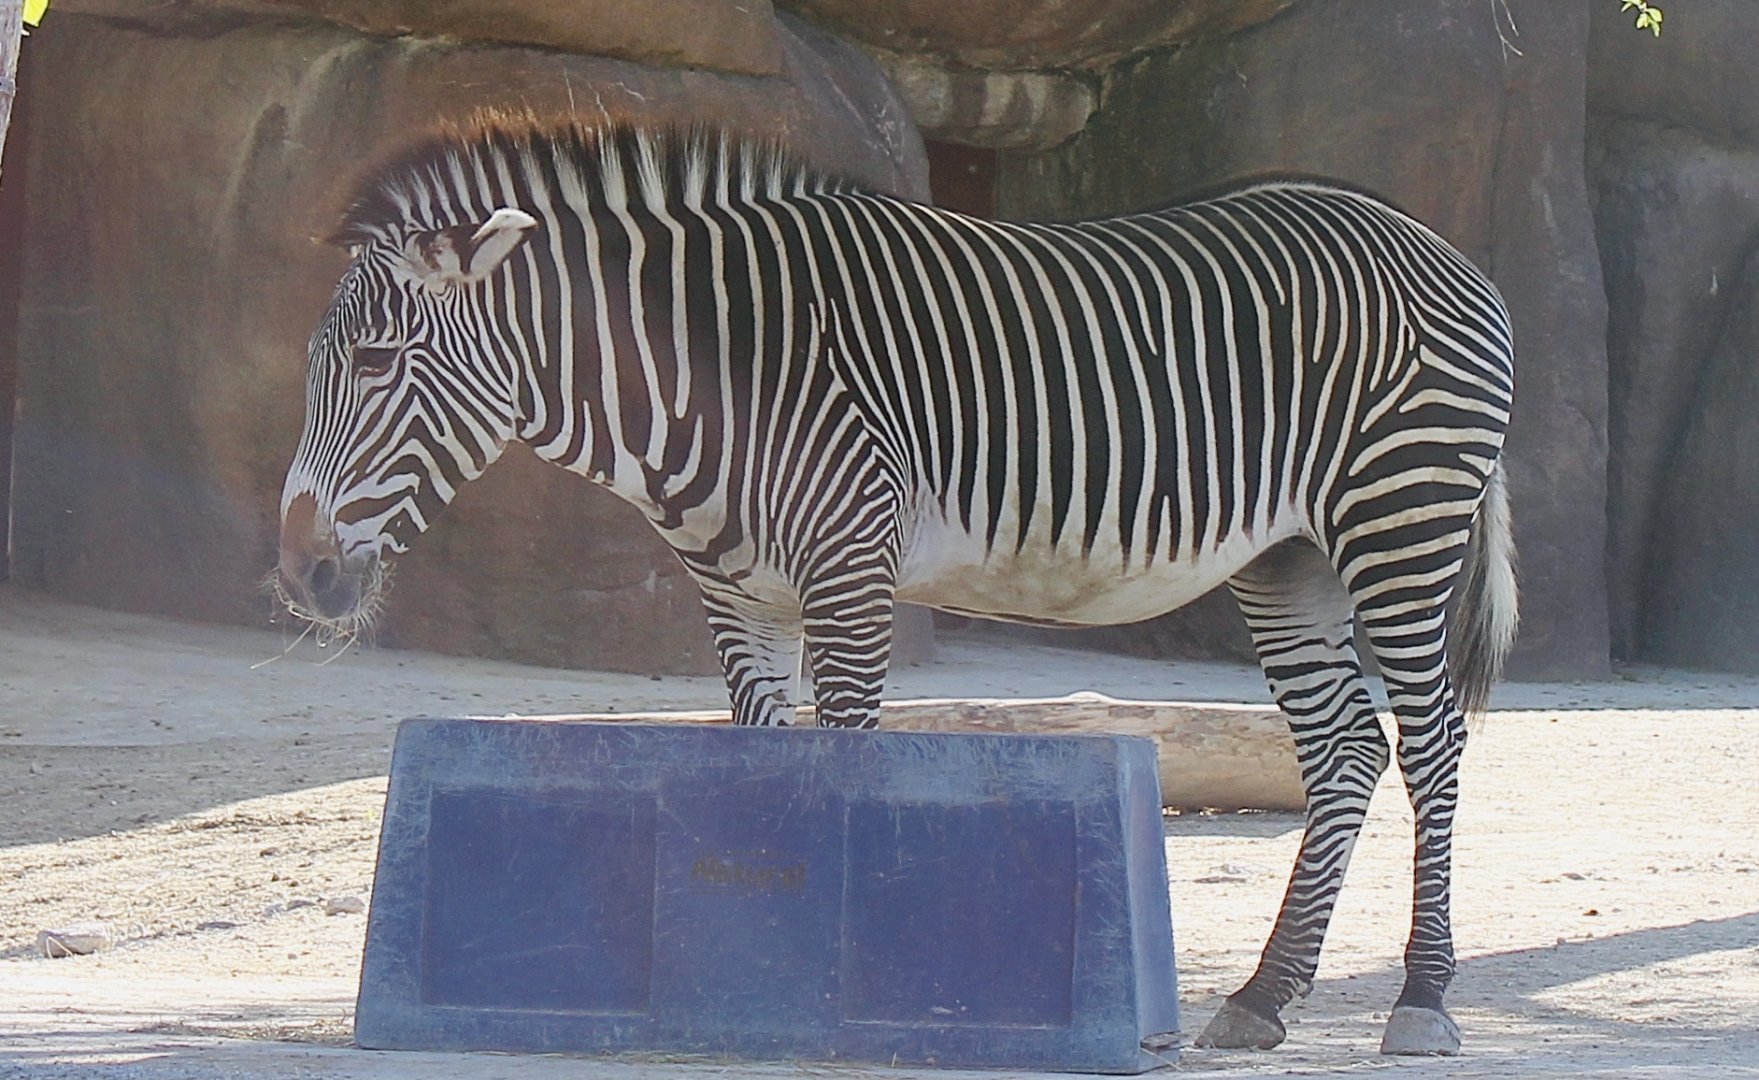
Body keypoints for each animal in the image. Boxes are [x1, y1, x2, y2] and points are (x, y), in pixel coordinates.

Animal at [276, 117, 1517, 1057]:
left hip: (1399, 520)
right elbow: (765, 776)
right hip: (1288, 560)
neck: (715, 374)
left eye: (376, 364)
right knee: (1346, 748)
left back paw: (1422, 1002)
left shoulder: (849, 572)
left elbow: (849, 765)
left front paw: (849, 989)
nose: (298, 571)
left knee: (1433, 741)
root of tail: (1427, 237)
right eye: (320, 367)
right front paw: (752, 986)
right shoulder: (739, 599)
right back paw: (1264, 997)